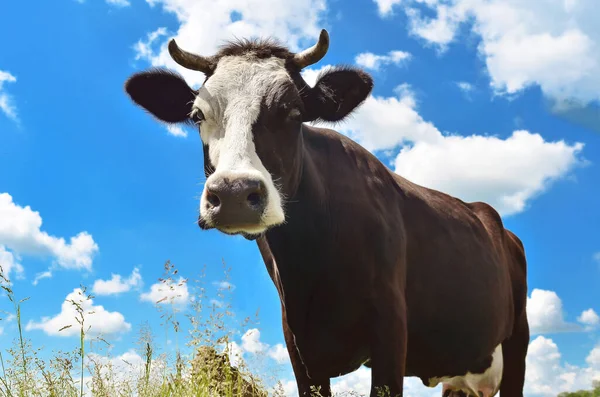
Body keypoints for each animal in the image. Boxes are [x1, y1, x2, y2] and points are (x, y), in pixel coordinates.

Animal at [124, 29, 528, 394]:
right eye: (197, 115)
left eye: (294, 112)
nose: (234, 193)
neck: (310, 262)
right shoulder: (298, 344)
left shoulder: (391, 329)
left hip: (517, 343)